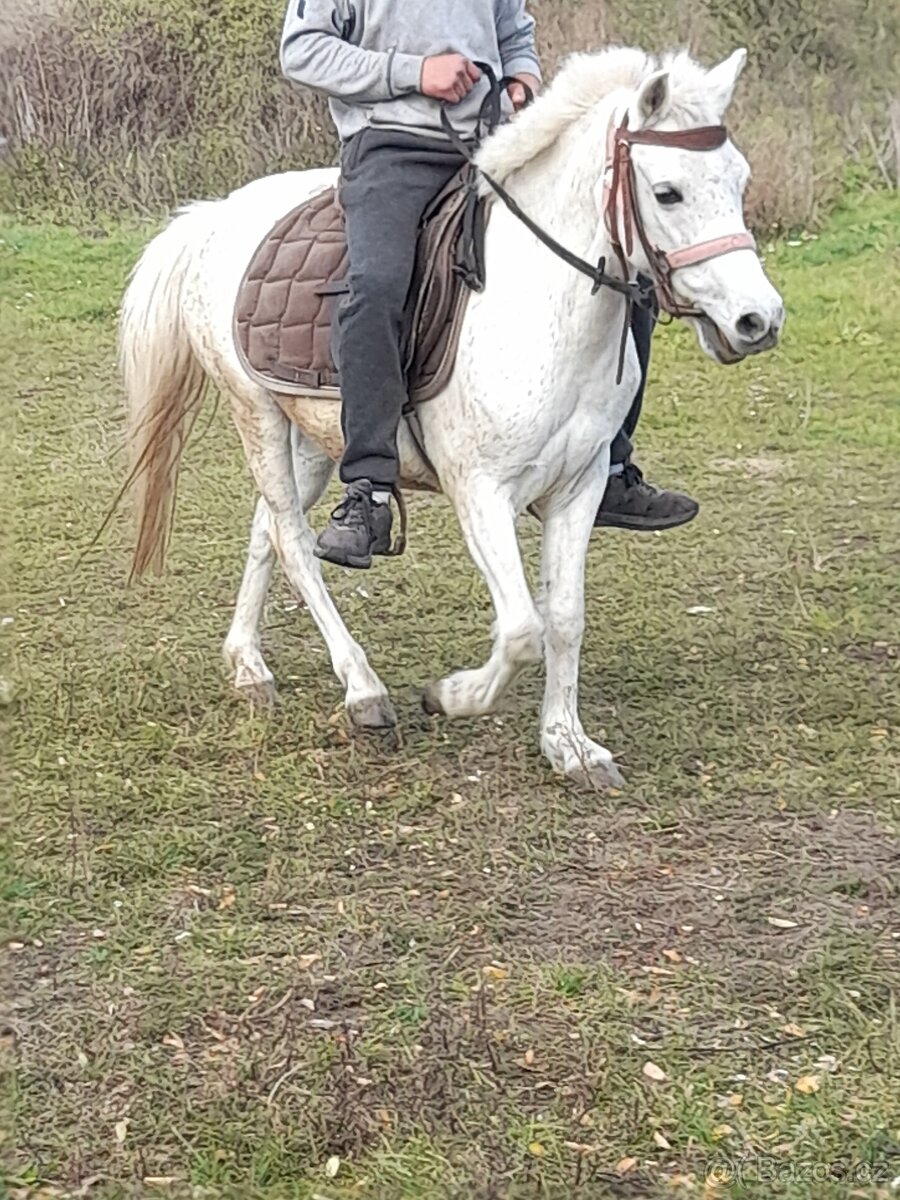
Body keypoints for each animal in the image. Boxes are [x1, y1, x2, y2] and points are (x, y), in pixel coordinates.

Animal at [119, 46, 784, 790]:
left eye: (739, 179)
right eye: (668, 191)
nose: (758, 319)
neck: (539, 300)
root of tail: (220, 215)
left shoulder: (579, 488)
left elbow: (564, 618)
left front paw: (570, 745)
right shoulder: (481, 492)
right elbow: (521, 629)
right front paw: (452, 696)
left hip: (318, 436)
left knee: (267, 529)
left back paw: (248, 666)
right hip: (255, 413)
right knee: (293, 540)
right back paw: (363, 691)